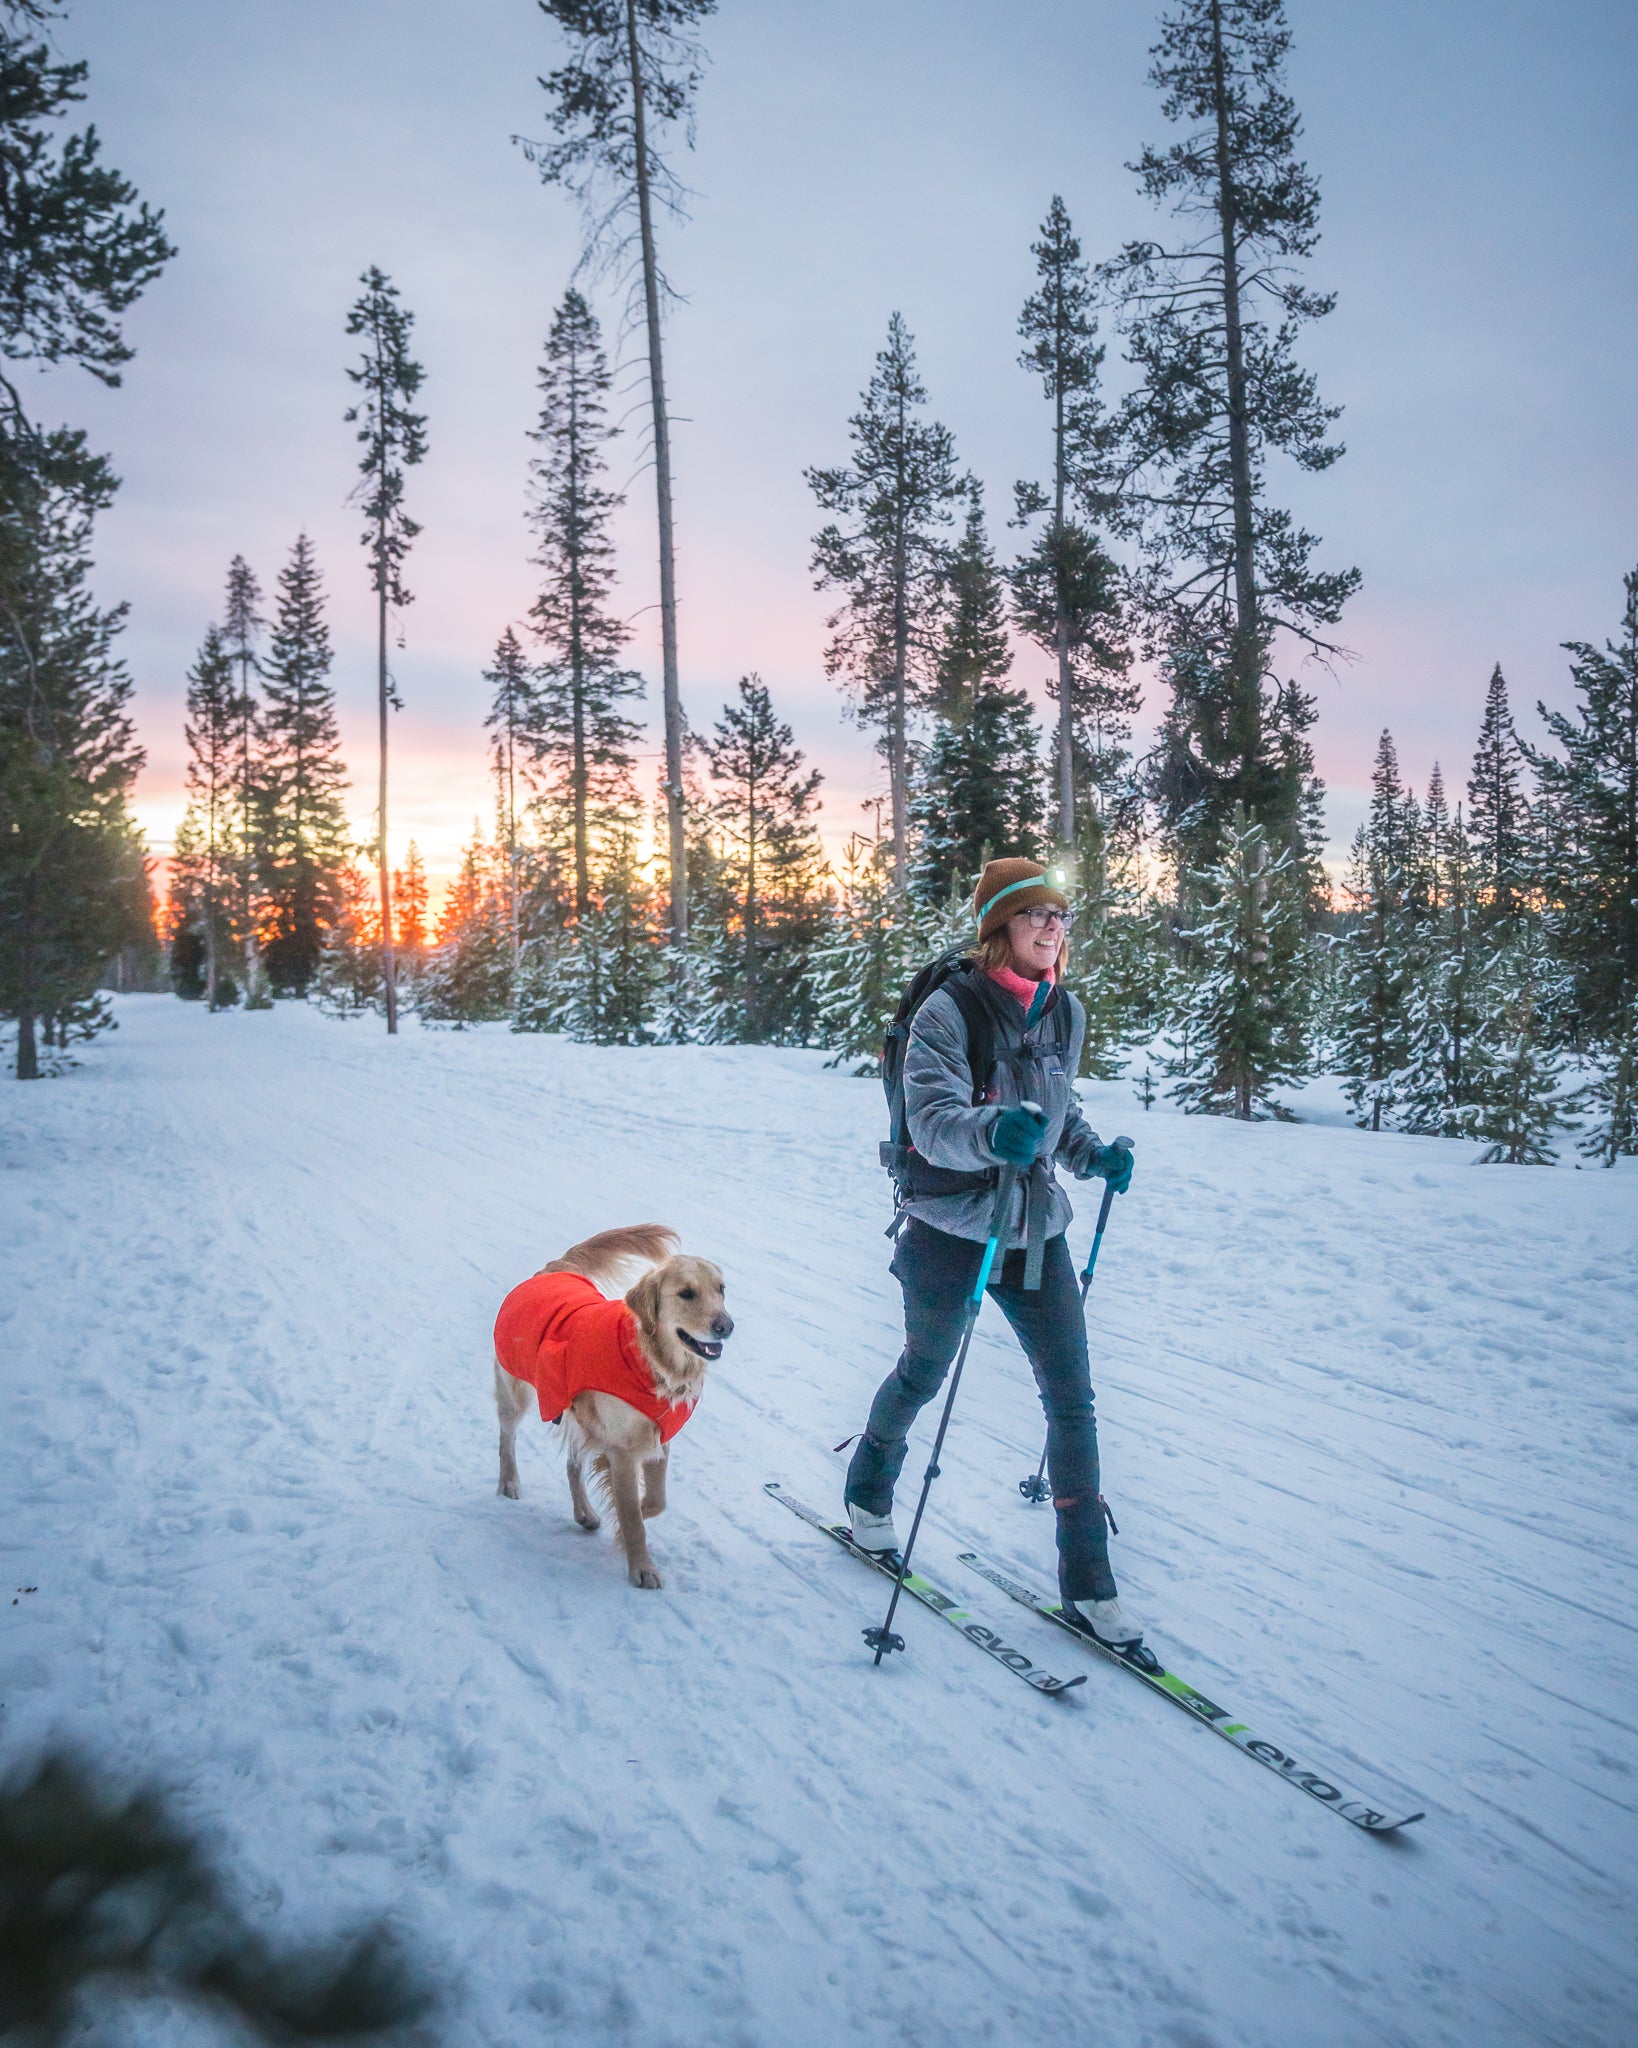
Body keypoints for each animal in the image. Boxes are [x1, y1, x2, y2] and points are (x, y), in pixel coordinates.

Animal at [493, 1220, 737, 1589]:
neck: (652, 1364)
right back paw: (508, 1482)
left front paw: (628, 1516)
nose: (726, 1326)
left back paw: (585, 1512)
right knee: (506, 1437)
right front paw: (642, 1568)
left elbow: (653, 1502)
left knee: (572, 1463)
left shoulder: (658, 1439)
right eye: (686, 1293)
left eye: (721, 1289)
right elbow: (632, 1516)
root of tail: (556, 1267)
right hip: (514, 1390)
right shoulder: (622, 1449)